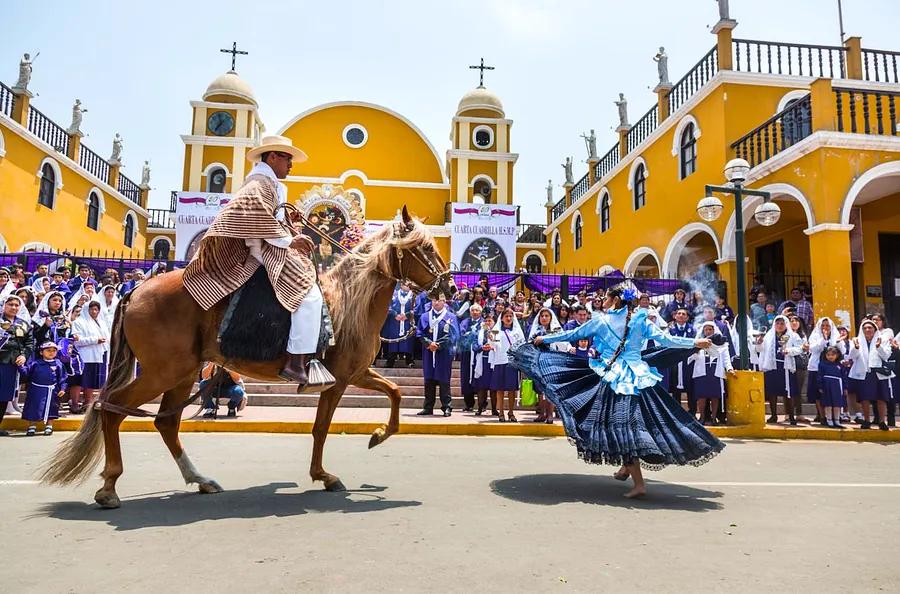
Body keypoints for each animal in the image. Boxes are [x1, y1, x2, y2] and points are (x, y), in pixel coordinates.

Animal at [38, 206, 454, 506]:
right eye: (425, 248)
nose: (448, 287)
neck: (350, 300)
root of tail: (135, 291)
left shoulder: (358, 372)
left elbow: (395, 393)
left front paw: (378, 435)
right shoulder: (339, 379)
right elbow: (321, 428)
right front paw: (327, 474)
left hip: (182, 373)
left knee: (165, 423)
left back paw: (200, 479)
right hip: (161, 372)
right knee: (111, 409)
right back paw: (109, 487)